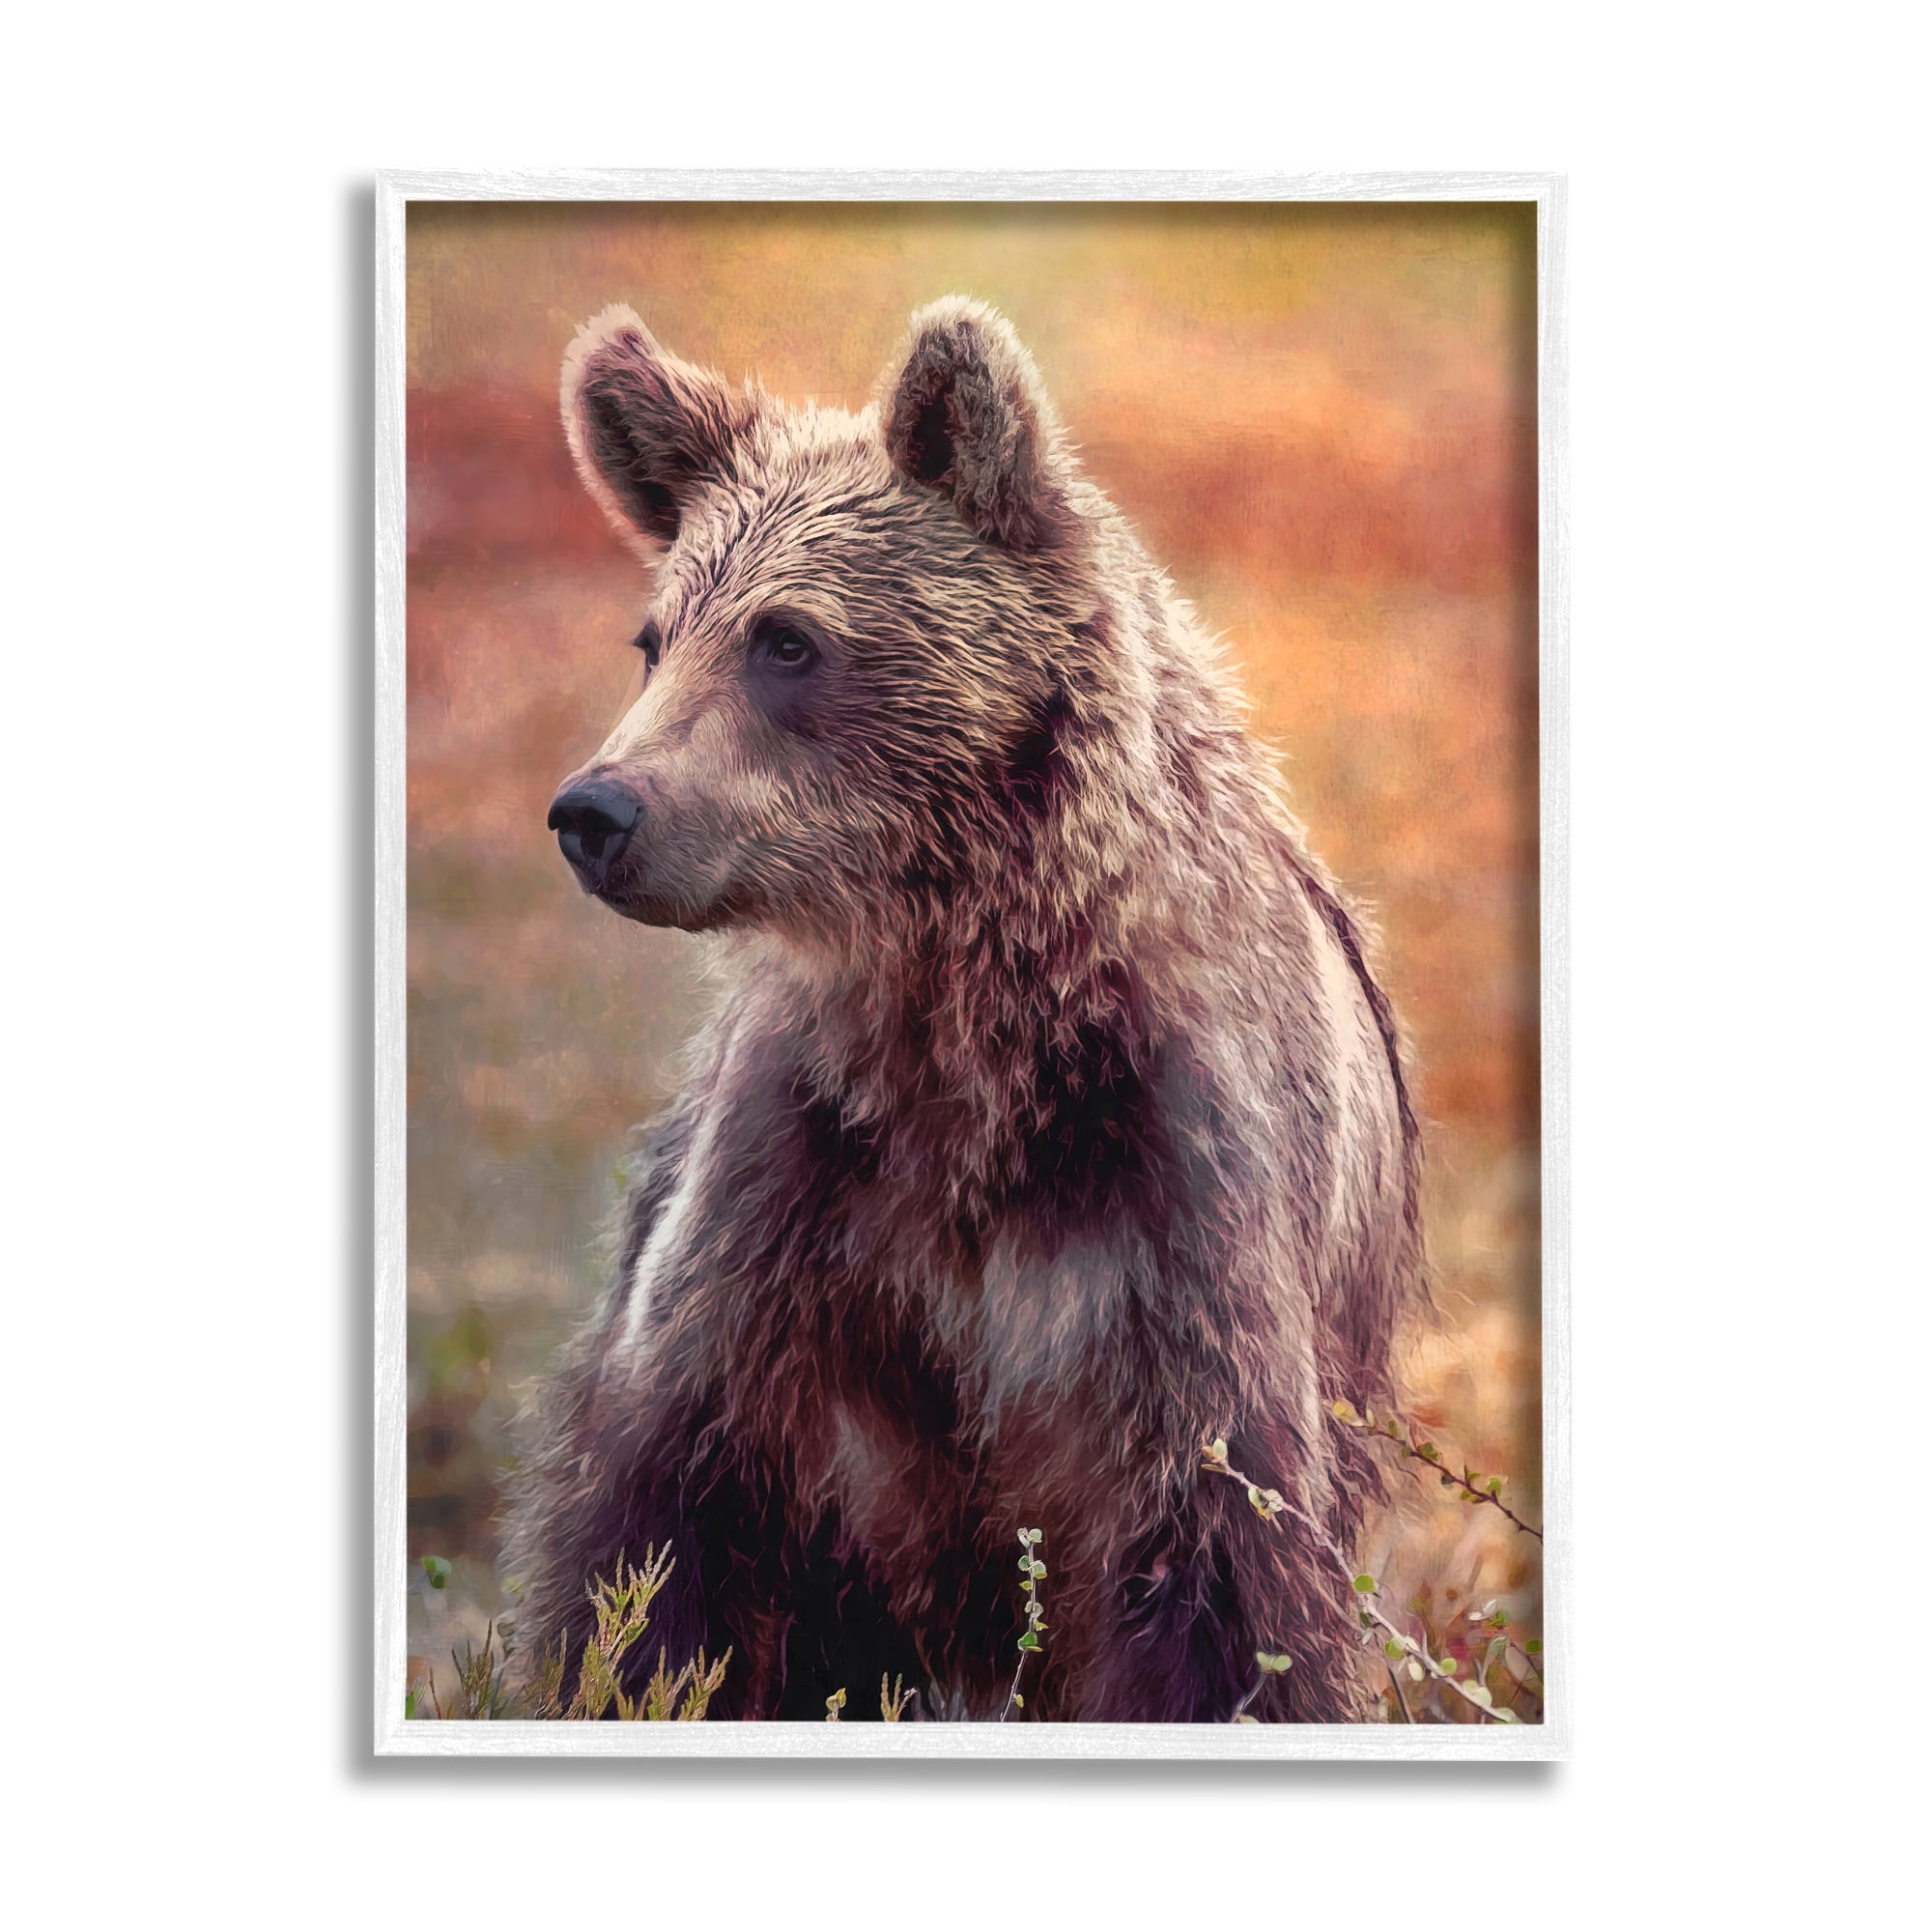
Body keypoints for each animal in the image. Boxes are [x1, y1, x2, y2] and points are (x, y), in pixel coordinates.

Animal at [503, 296, 1423, 1722]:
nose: (597, 809)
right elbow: (662, 1535)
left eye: (787, 638)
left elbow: (1221, 1586)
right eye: (655, 636)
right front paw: (625, 1667)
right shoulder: (798, 1200)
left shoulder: (1171, 1214)